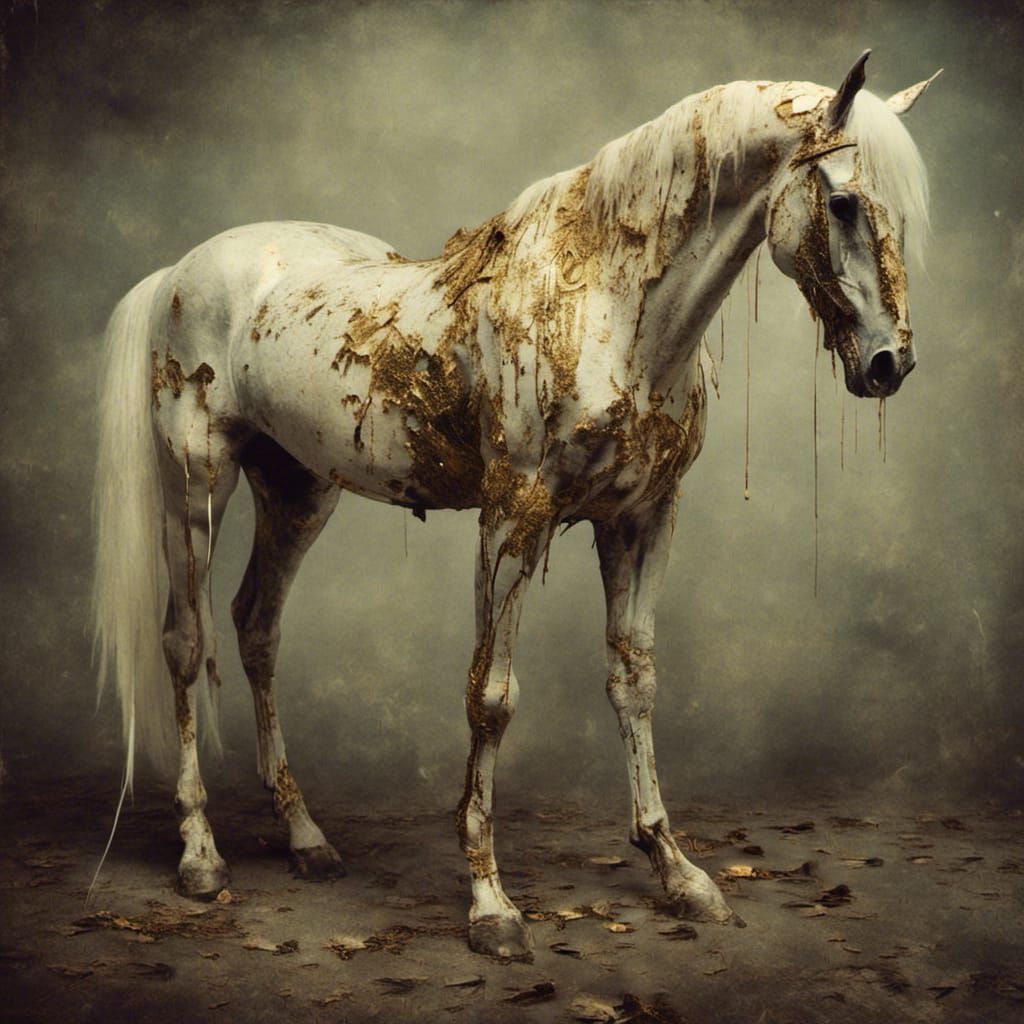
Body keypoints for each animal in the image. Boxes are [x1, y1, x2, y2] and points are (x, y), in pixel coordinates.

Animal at [93, 52, 938, 959]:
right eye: (844, 202)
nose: (889, 364)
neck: (610, 309)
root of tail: (181, 273)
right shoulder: (513, 517)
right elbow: (491, 699)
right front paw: (490, 903)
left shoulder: (643, 518)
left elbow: (635, 679)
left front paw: (677, 872)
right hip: (198, 483)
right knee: (188, 642)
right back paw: (199, 853)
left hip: (299, 490)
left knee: (256, 628)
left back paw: (306, 838)